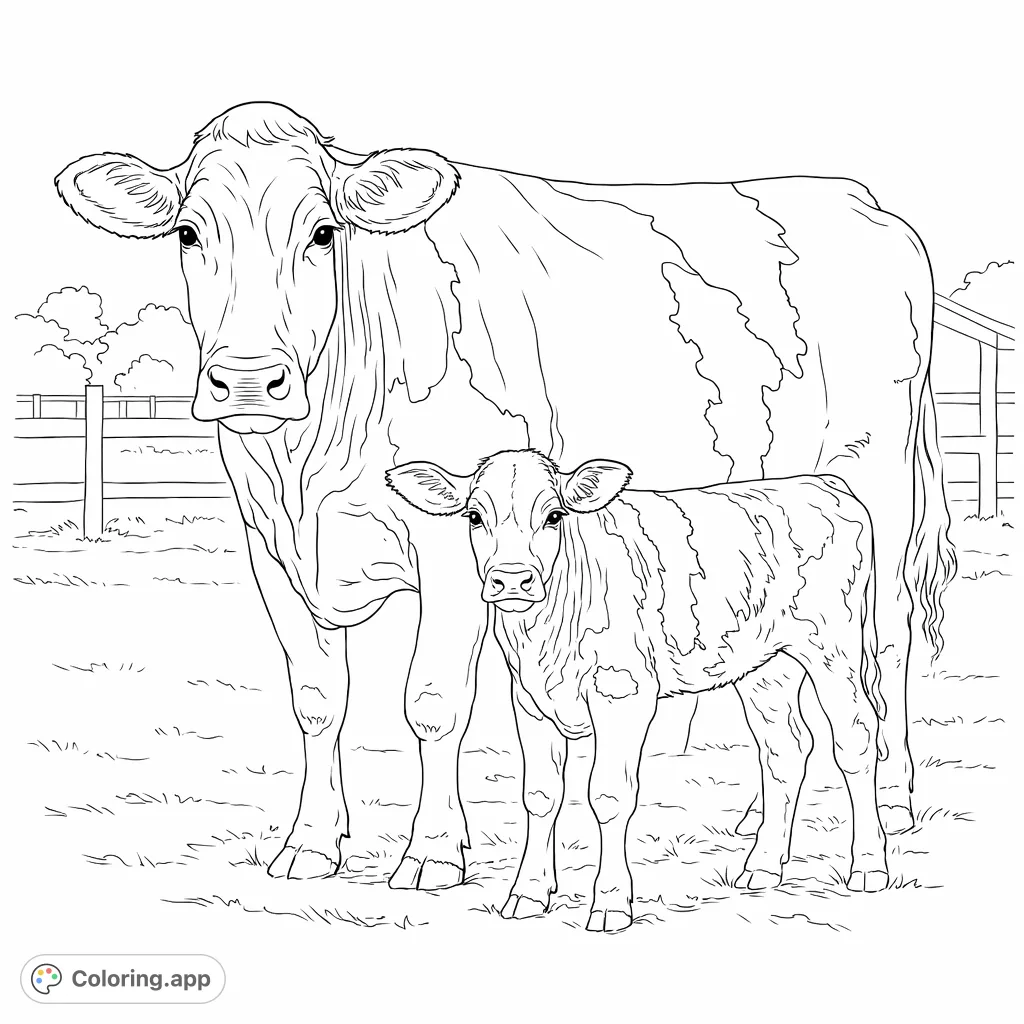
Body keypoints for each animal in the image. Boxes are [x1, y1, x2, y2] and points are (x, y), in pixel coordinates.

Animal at [386, 450, 888, 931]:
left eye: (554, 515)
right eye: (475, 516)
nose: (513, 578)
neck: (546, 634)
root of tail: (820, 482)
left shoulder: (623, 692)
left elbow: (609, 796)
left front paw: (609, 904)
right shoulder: (529, 702)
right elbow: (540, 795)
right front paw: (528, 894)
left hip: (834, 648)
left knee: (856, 740)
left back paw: (868, 866)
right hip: (766, 667)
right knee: (785, 749)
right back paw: (762, 866)